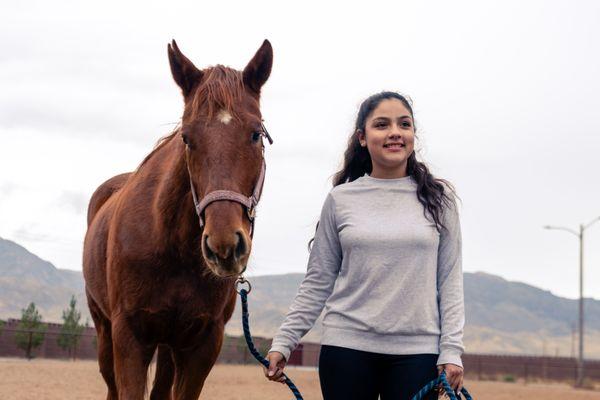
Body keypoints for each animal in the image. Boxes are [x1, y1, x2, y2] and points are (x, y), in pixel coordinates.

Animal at [81, 39, 272, 400]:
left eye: (256, 134)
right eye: (186, 137)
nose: (224, 246)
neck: (172, 247)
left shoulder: (202, 344)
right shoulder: (129, 337)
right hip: (104, 328)